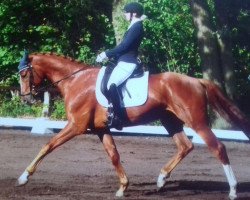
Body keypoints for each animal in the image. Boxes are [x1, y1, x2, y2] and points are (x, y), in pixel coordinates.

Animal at [17, 52, 250, 199]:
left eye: (24, 73)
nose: (25, 98)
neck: (76, 81)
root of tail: (197, 81)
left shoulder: (76, 126)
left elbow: (48, 146)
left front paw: (23, 177)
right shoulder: (101, 129)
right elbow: (114, 155)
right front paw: (122, 187)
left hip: (197, 122)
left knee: (217, 147)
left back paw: (232, 190)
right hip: (170, 120)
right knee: (185, 146)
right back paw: (161, 179)